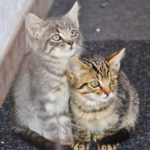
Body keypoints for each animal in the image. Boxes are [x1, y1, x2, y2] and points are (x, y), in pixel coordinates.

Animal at [12, 1, 82, 149]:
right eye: (56, 37)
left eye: (73, 33)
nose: (71, 42)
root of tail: (16, 122)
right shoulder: (43, 101)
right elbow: (51, 126)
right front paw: (55, 142)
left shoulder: (64, 102)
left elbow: (65, 121)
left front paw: (67, 140)